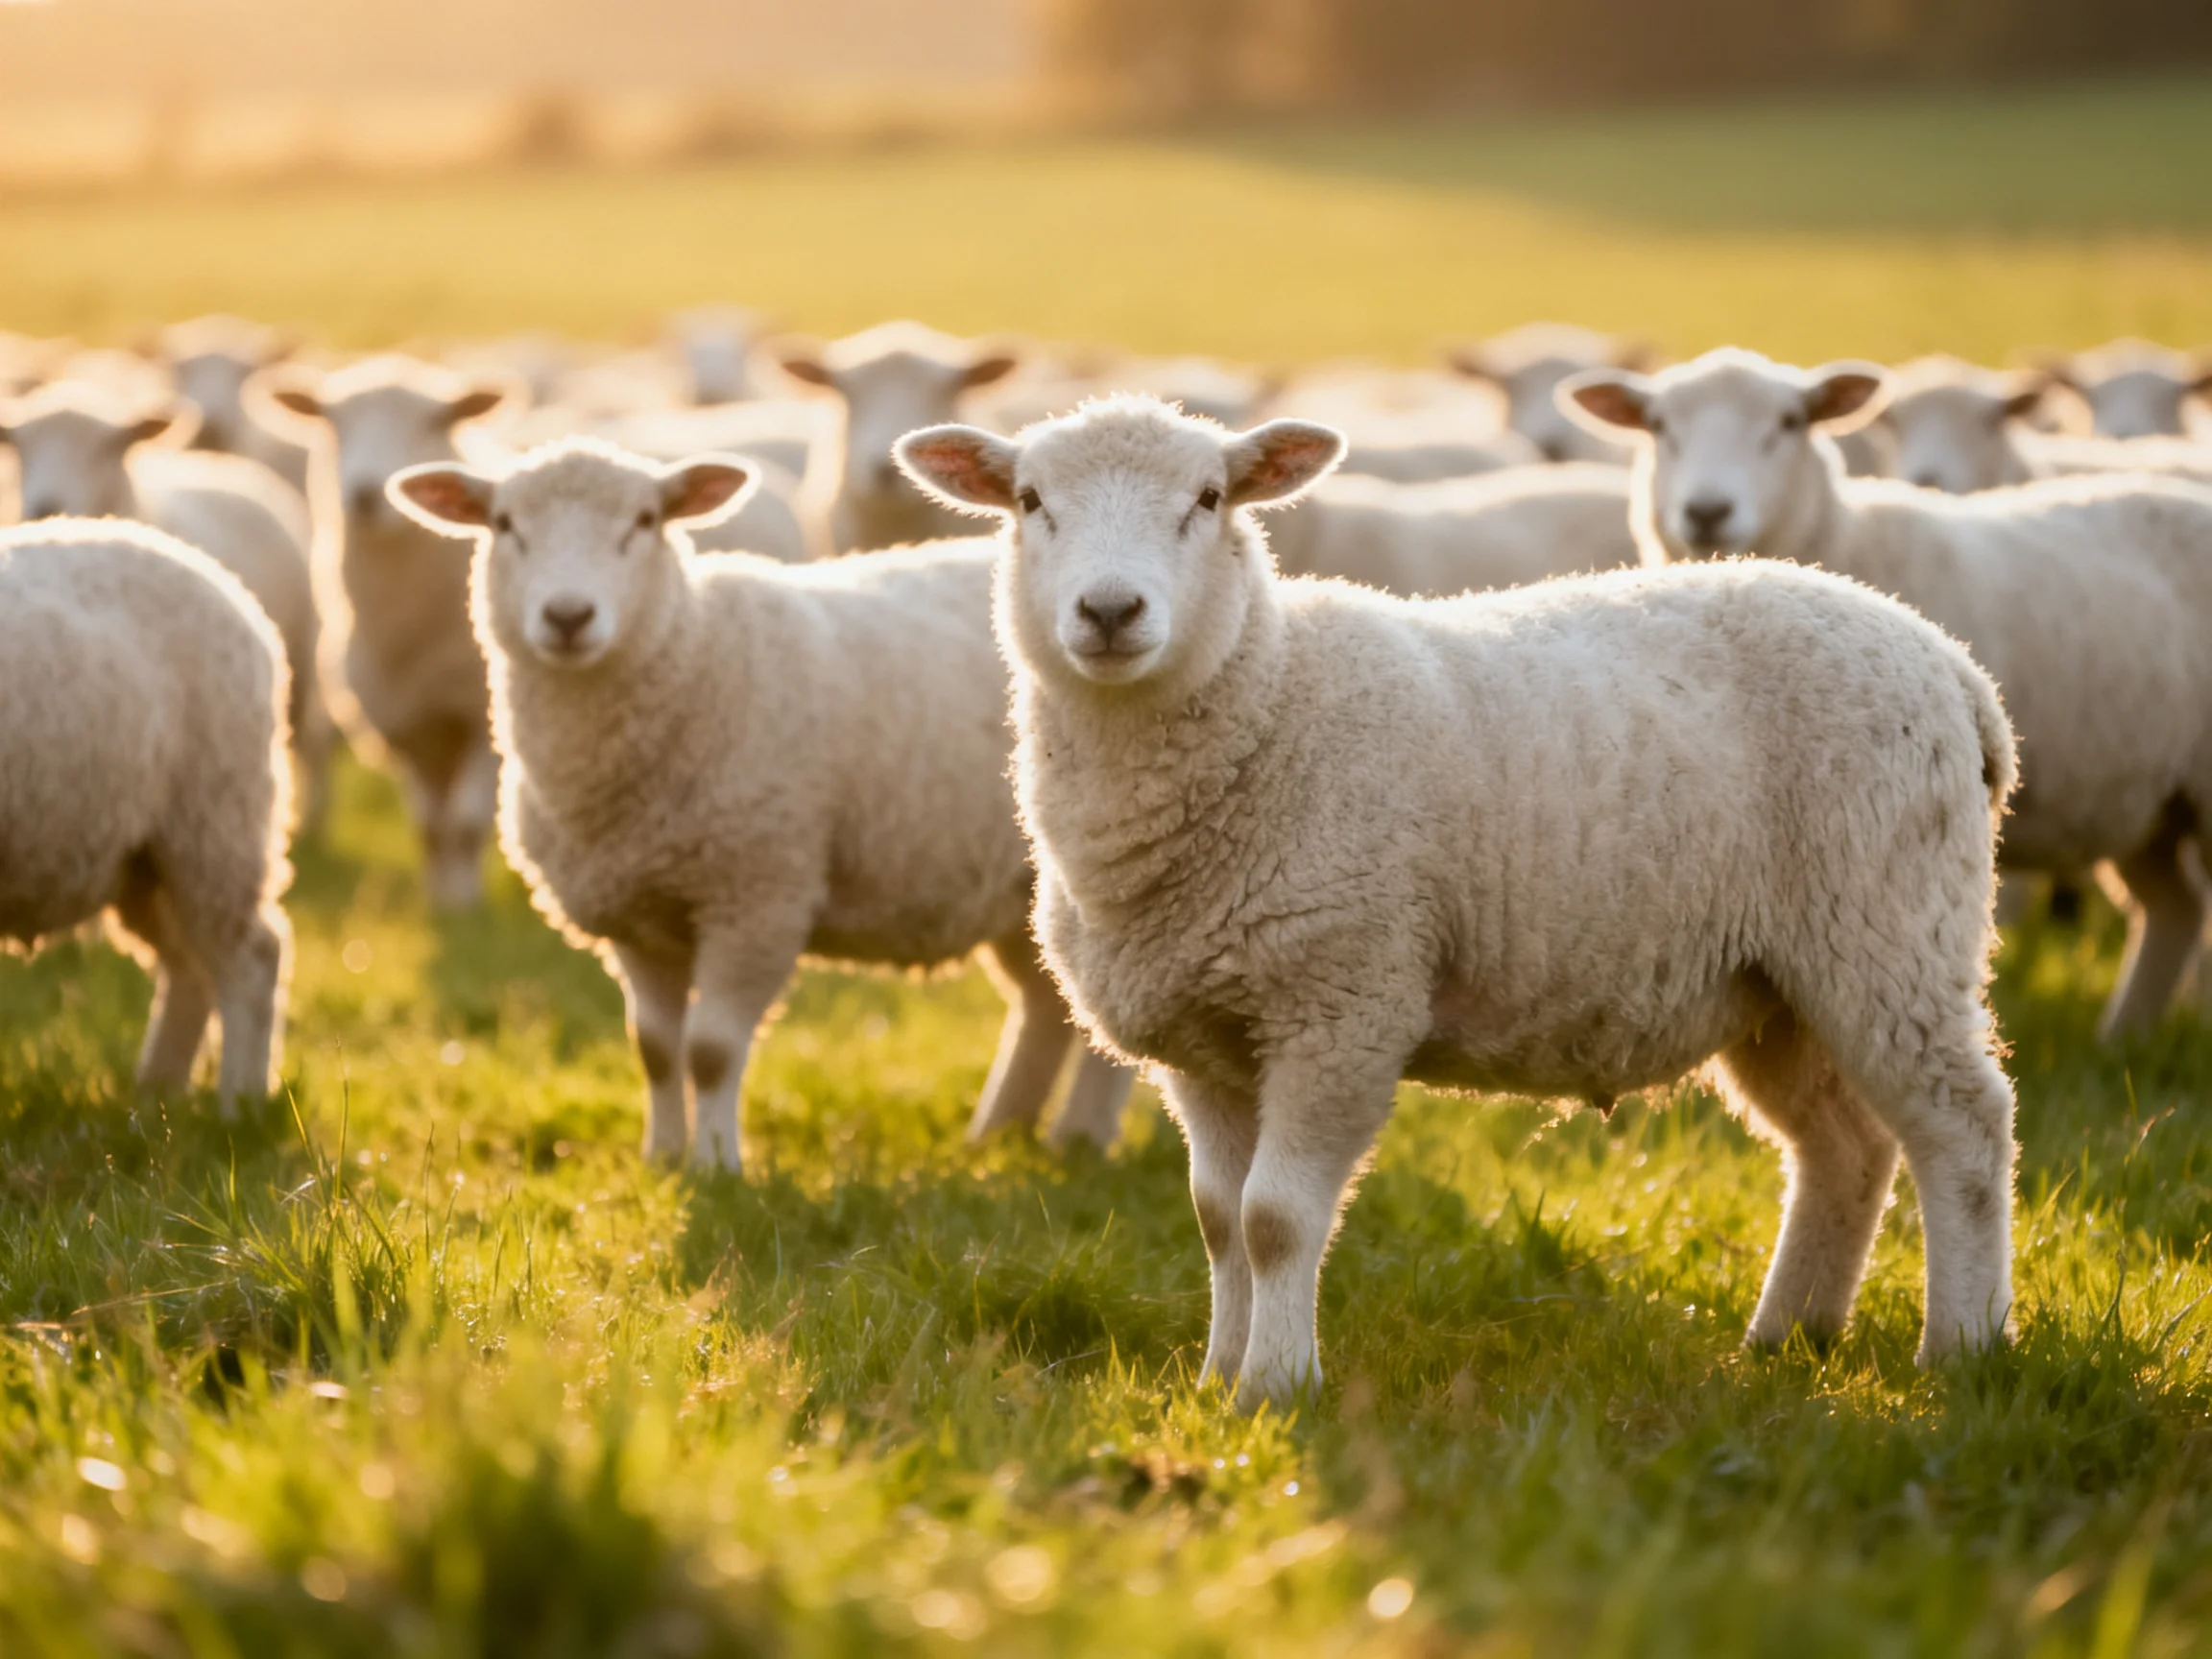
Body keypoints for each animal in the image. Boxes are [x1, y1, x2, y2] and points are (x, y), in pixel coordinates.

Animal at [0, 518, 291, 1106]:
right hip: (141, 860)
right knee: (190, 969)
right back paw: (158, 1096)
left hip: (216, 819)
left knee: (253, 958)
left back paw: (241, 1105)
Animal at [252, 354, 518, 907]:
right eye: (330, 420)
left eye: (435, 421)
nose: (365, 493)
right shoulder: (405, 725)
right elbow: (431, 824)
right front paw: (441, 899)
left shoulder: (478, 719)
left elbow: (466, 823)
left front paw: (466, 903)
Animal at [384, 437, 1135, 1168]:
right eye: (505, 524)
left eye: (645, 522)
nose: (568, 617)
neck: (694, 654)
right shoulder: (635, 915)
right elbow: (655, 1050)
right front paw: (662, 1158)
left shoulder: (757, 895)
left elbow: (710, 1050)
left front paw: (717, 1168)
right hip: (1016, 891)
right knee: (1045, 1005)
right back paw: (999, 1133)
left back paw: (1081, 1136)